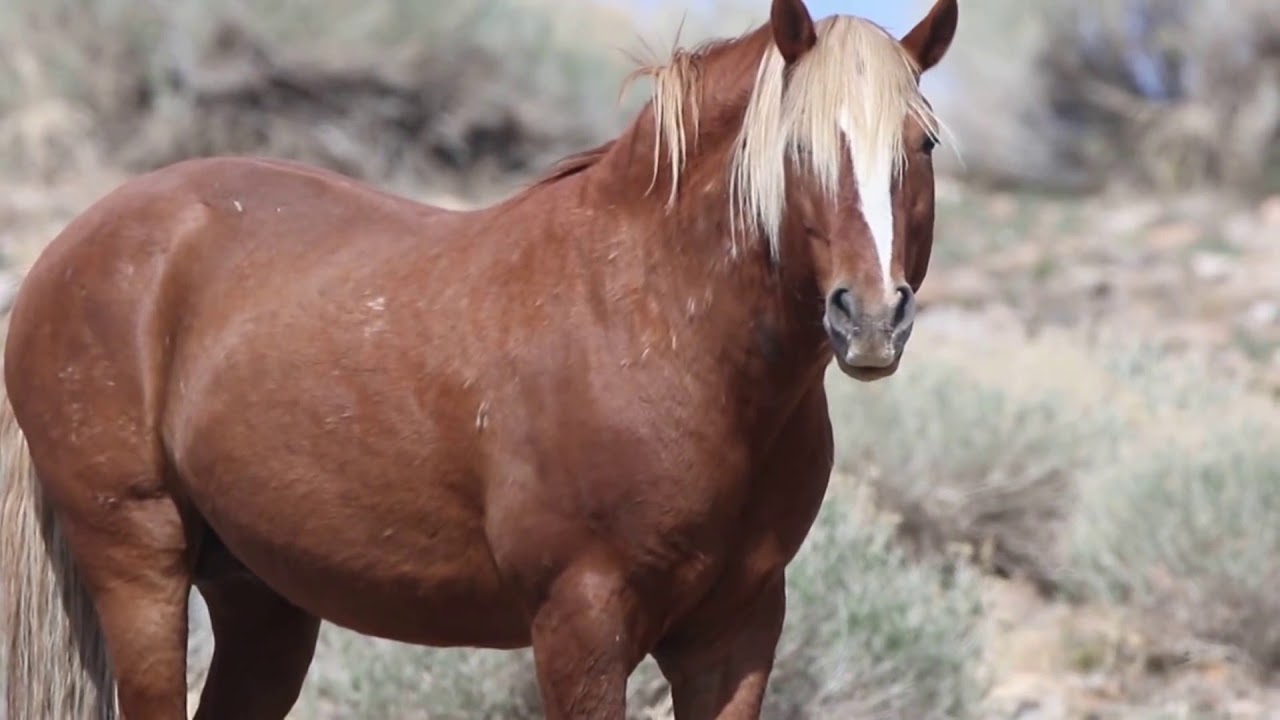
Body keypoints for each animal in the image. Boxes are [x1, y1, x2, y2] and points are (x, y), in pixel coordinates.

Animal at [0, 0, 957, 717]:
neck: (660, 332)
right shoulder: (580, 626)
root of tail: (74, 245)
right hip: (141, 566)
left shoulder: (737, 634)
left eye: (924, 144)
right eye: (797, 147)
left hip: (264, 600)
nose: (873, 318)